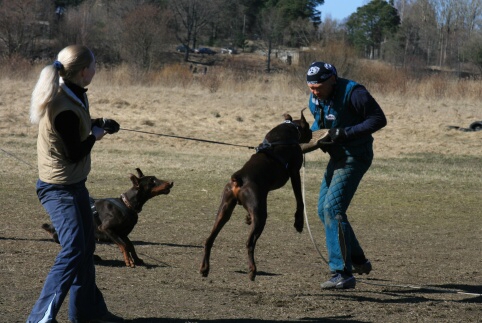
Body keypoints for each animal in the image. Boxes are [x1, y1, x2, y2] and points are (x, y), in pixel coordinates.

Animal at [42, 168, 173, 268]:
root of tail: (52, 228)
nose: (171, 182)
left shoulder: (123, 233)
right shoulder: (106, 229)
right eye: (152, 181)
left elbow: (130, 245)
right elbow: (123, 245)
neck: (127, 204)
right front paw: (129, 261)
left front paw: (137, 259)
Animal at [200, 109, 312, 280]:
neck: (290, 129)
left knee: (209, 239)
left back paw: (205, 268)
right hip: (260, 216)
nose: (312, 134)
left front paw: (247, 218)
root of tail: (239, 178)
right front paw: (299, 222)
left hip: (224, 209)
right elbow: (299, 199)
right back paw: (252, 270)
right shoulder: (294, 172)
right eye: (309, 127)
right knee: (249, 243)